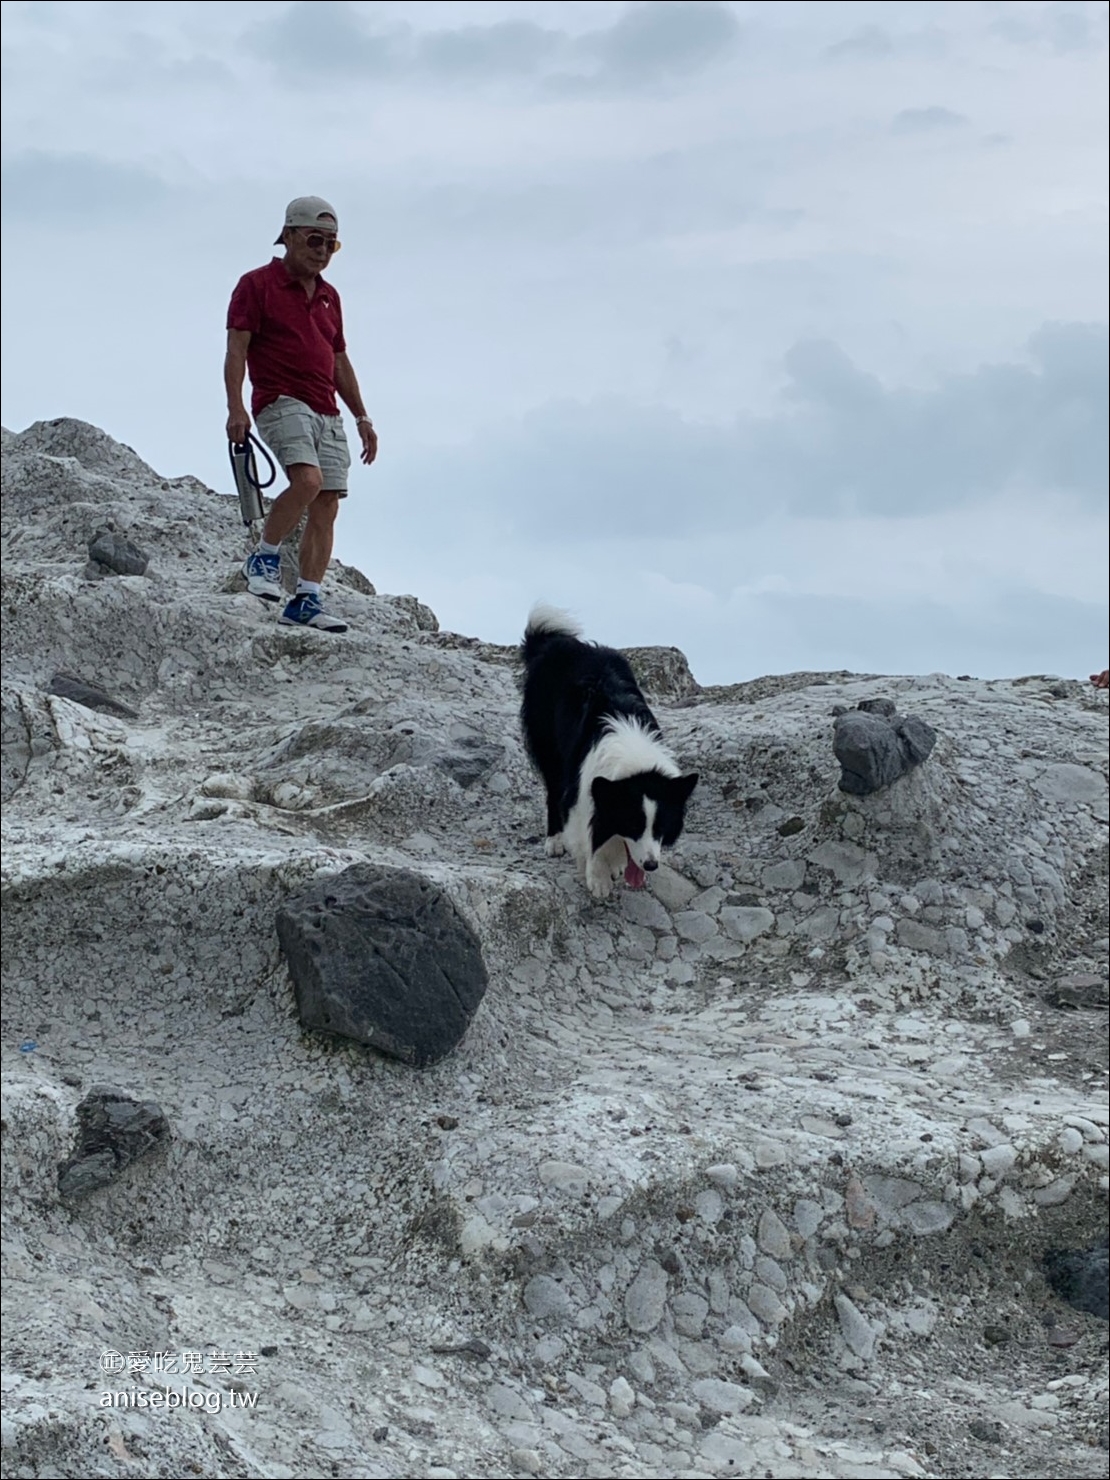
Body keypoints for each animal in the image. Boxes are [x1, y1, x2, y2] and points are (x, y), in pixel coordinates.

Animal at [520, 603, 695, 899]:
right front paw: (598, 879)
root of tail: (556, 644)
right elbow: (589, 839)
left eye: (660, 827)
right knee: (553, 790)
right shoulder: (581, 789)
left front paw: (615, 867)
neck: (635, 760)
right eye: (634, 825)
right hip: (548, 745)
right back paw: (554, 841)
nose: (651, 865)